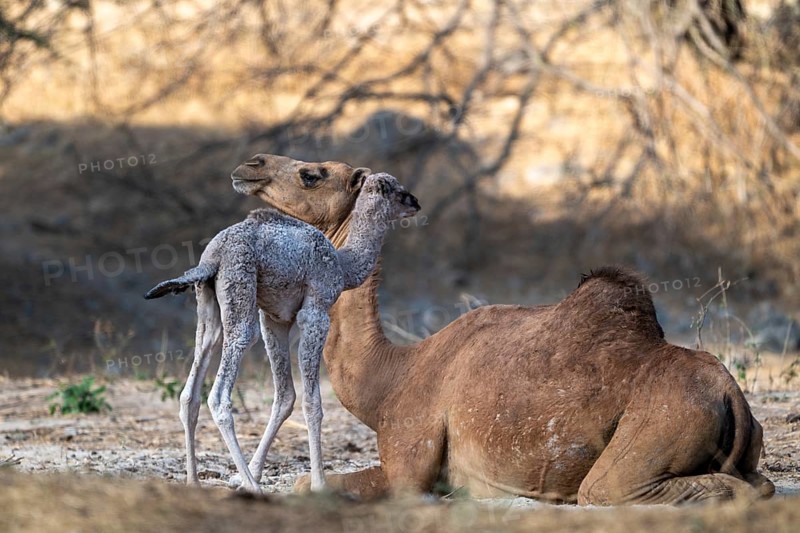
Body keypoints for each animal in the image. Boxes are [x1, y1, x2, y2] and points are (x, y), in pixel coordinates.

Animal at [145, 170, 419, 493]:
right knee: (220, 396)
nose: (415, 203)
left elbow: (285, 396)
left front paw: (253, 471)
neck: (343, 266)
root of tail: (211, 258)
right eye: (396, 191)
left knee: (190, 392)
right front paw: (319, 484)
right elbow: (312, 402)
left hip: (208, 307)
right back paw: (253, 488)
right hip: (241, 298)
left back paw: (195, 482)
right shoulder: (315, 311)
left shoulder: (274, 319)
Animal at [230, 154, 775, 505]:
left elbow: (309, 484)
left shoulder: (410, 462)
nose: (249, 165)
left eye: (311, 173)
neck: (392, 376)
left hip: (651, 434)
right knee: (759, 482)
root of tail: (733, 397)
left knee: (622, 491)